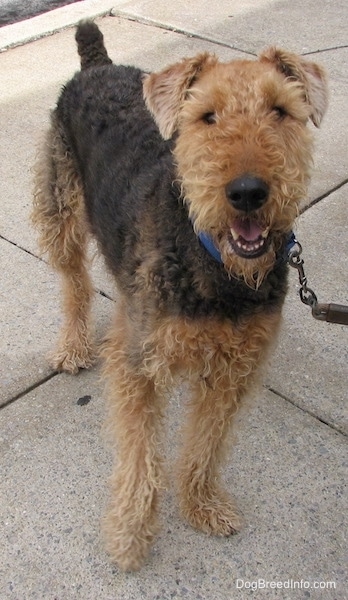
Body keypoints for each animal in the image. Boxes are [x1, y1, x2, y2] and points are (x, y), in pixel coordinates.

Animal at [31, 21, 328, 568]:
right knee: (75, 284)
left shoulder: (234, 369)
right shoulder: (138, 364)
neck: (214, 265)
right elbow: (140, 459)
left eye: (280, 110)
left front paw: (201, 505)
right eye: (207, 116)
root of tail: (97, 63)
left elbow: (205, 446)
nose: (248, 192)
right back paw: (73, 346)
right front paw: (129, 535)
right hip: (60, 209)